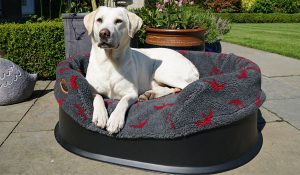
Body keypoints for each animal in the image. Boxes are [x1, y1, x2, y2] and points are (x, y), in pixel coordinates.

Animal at [84, 5, 199, 134]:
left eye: (118, 21)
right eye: (99, 20)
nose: (104, 33)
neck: (108, 62)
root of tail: (193, 66)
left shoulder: (131, 93)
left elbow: (122, 102)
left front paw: (115, 120)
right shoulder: (92, 90)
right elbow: (98, 98)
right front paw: (100, 116)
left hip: (162, 72)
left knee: (184, 87)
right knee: (173, 89)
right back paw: (150, 94)